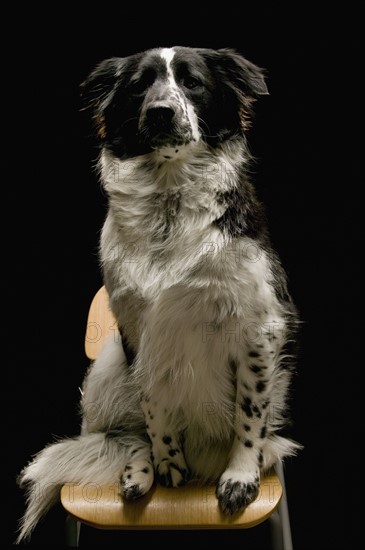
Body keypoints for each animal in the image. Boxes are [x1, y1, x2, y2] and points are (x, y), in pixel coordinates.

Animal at [15, 46, 300, 544]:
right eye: (138, 87)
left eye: (192, 83)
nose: (161, 111)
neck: (170, 198)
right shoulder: (137, 329)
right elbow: (155, 409)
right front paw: (166, 463)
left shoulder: (258, 327)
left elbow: (250, 413)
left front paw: (240, 477)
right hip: (108, 363)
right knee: (131, 434)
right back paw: (138, 470)